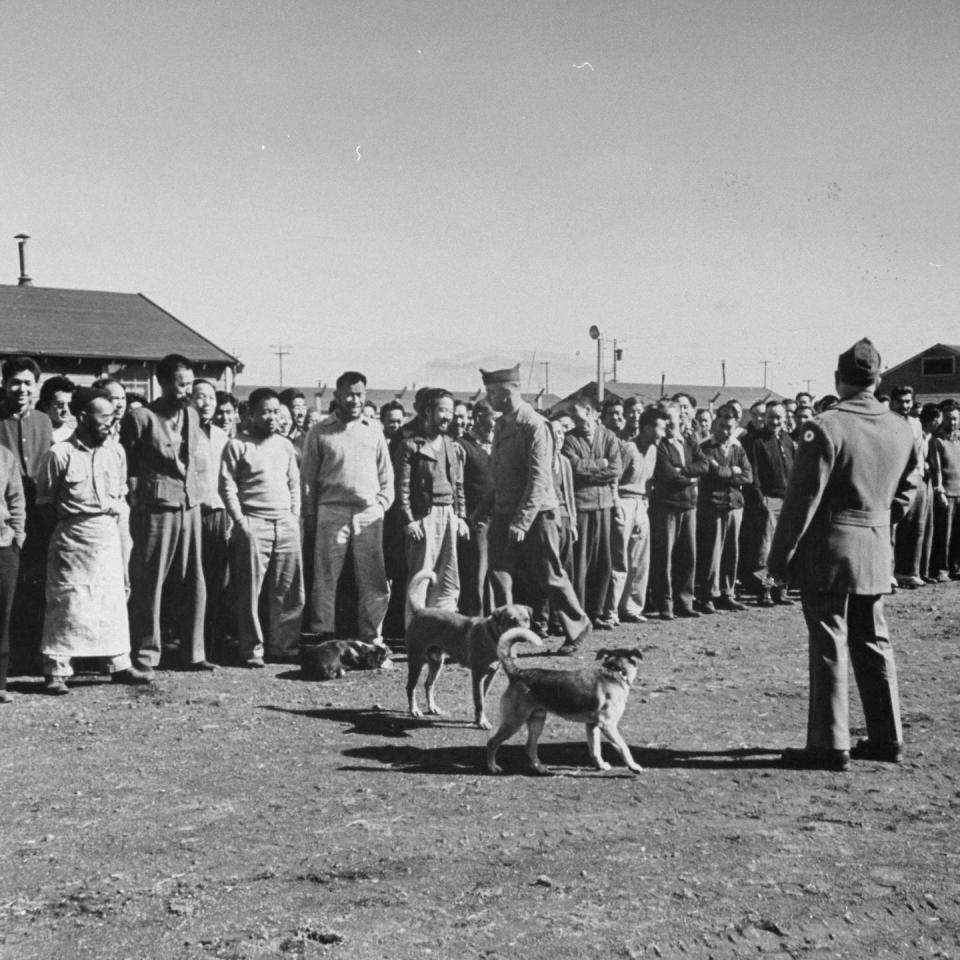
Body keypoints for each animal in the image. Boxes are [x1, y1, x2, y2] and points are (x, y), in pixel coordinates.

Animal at [404, 568, 532, 728]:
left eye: (526, 619)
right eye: (512, 621)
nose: (524, 634)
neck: (492, 636)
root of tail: (419, 611)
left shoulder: (491, 675)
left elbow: (482, 698)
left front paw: (478, 719)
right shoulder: (477, 675)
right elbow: (479, 701)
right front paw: (482, 722)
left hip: (436, 662)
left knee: (428, 684)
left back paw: (432, 708)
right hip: (416, 661)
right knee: (411, 687)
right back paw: (414, 710)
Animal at [488, 628, 644, 776]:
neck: (615, 671)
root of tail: (517, 672)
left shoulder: (592, 725)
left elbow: (595, 749)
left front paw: (600, 765)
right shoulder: (608, 725)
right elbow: (624, 747)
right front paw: (634, 767)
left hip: (537, 721)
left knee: (530, 747)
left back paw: (540, 769)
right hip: (514, 722)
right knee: (492, 742)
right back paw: (493, 767)